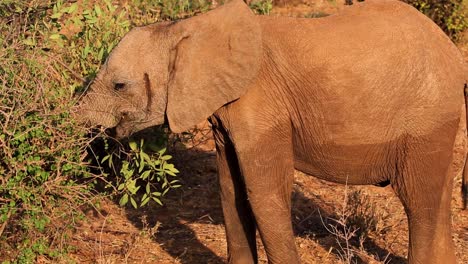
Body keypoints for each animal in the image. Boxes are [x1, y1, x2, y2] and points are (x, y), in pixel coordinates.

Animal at [77, 1, 468, 262]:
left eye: (119, 85)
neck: (187, 28)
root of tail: (453, 53)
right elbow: (231, 190)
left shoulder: (261, 105)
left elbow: (264, 193)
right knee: (438, 195)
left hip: (427, 118)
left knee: (419, 200)